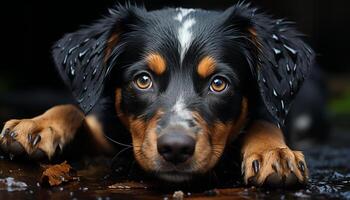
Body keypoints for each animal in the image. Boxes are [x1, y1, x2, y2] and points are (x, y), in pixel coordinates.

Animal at [0, 2, 314, 188]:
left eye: (218, 83)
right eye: (143, 80)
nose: (175, 148)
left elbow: (265, 121)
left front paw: (275, 152)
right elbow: (73, 109)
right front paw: (35, 126)